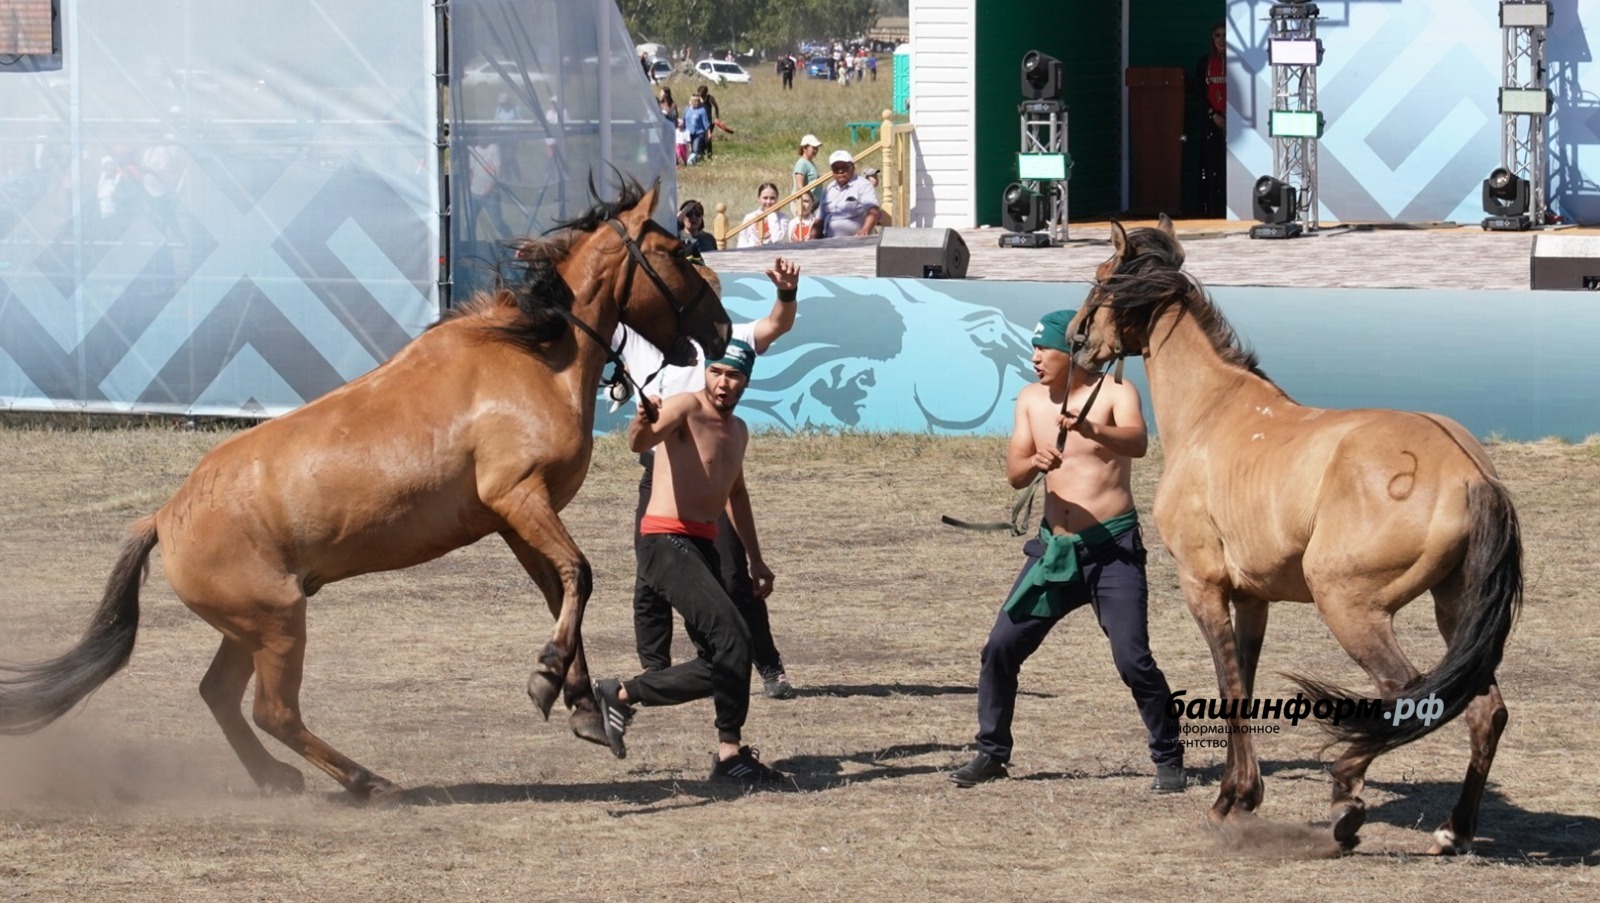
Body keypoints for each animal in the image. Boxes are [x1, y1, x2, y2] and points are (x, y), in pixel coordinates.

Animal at [0, 180, 729, 800]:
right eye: (675, 253)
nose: (722, 331)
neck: (530, 353)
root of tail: (163, 516)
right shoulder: (519, 495)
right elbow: (578, 574)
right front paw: (548, 676)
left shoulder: (514, 517)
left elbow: (561, 588)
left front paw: (579, 703)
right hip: (278, 623)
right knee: (273, 710)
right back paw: (365, 781)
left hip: (250, 627)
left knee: (219, 695)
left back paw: (277, 780)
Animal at [1075, 219, 1523, 851]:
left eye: (1100, 280)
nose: (1077, 341)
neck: (1212, 413)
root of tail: (1469, 471)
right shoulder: (1253, 598)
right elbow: (1243, 680)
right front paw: (1242, 795)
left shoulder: (1203, 586)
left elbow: (1229, 686)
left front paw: (1230, 800)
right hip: (1454, 609)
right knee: (1485, 710)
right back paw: (1452, 832)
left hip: (1349, 606)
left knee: (1406, 696)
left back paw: (1346, 798)